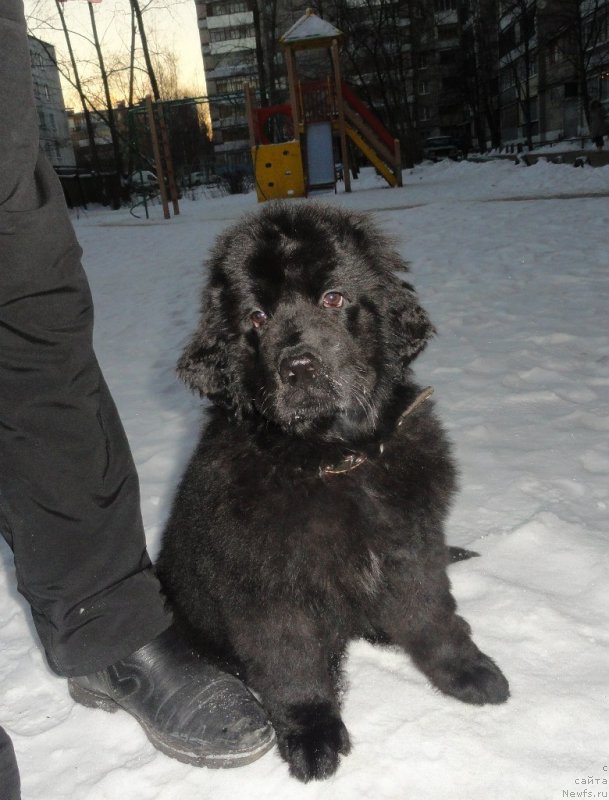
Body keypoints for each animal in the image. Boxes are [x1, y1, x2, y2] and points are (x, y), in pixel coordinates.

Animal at [154, 200, 506, 780]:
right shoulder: (267, 581)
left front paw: (466, 671)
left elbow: (432, 612)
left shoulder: (410, 542)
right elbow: (290, 658)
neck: (333, 457)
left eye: (334, 298)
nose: (298, 367)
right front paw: (311, 732)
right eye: (257, 317)